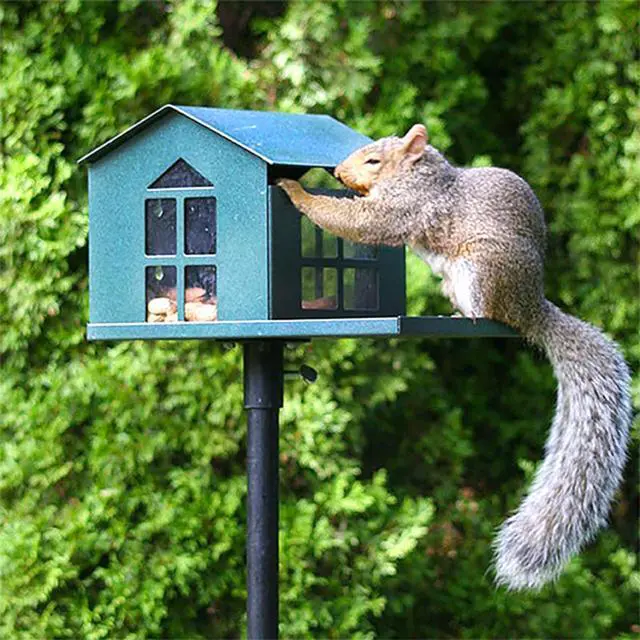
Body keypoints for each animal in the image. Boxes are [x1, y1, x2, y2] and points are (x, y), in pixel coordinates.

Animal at [277, 124, 632, 591]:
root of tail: (531, 308)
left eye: (374, 161)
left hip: (481, 270)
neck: (420, 174)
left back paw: (472, 315)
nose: (336, 172)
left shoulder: (408, 206)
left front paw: (295, 191)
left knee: (491, 313)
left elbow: (363, 222)